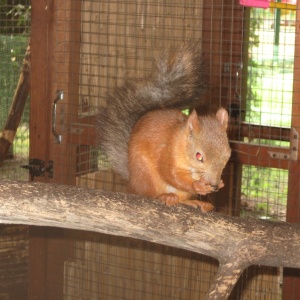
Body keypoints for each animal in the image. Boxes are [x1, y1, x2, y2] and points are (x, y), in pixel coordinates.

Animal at [97, 43, 231, 212]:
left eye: (228, 154)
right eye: (198, 156)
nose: (214, 183)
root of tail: (132, 182)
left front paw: (220, 184)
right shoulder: (167, 152)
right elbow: (170, 174)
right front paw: (198, 186)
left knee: (181, 199)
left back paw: (195, 202)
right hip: (145, 175)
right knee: (148, 193)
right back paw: (164, 196)